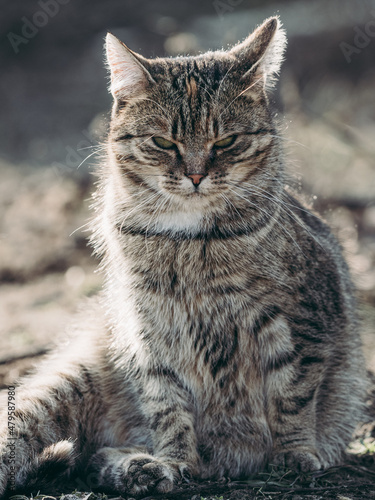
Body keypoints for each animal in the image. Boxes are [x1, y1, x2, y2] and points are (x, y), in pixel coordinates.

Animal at [0, 16, 368, 500]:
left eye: (227, 141)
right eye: (162, 141)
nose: (195, 175)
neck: (188, 241)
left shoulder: (299, 320)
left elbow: (293, 395)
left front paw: (296, 453)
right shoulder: (149, 333)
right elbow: (168, 406)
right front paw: (175, 459)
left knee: (93, 453)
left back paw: (134, 466)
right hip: (68, 381)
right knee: (59, 440)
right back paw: (141, 466)